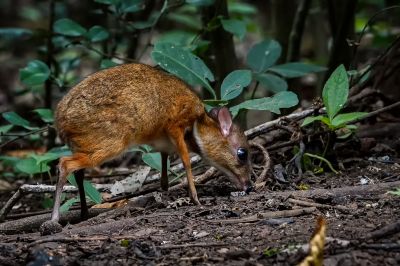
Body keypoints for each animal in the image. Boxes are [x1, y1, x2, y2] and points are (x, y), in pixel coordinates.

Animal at [40, 62, 253, 235]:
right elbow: (185, 161)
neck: (197, 123)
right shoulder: (175, 124)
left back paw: (84, 213)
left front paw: (166, 192)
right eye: (242, 153)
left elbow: (165, 171)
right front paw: (195, 198)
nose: (250, 186)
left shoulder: (163, 144)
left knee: (78, 172)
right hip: (109, 143)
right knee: (65, 164)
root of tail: (59, 121)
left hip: (85, 145)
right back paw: (54, 218)